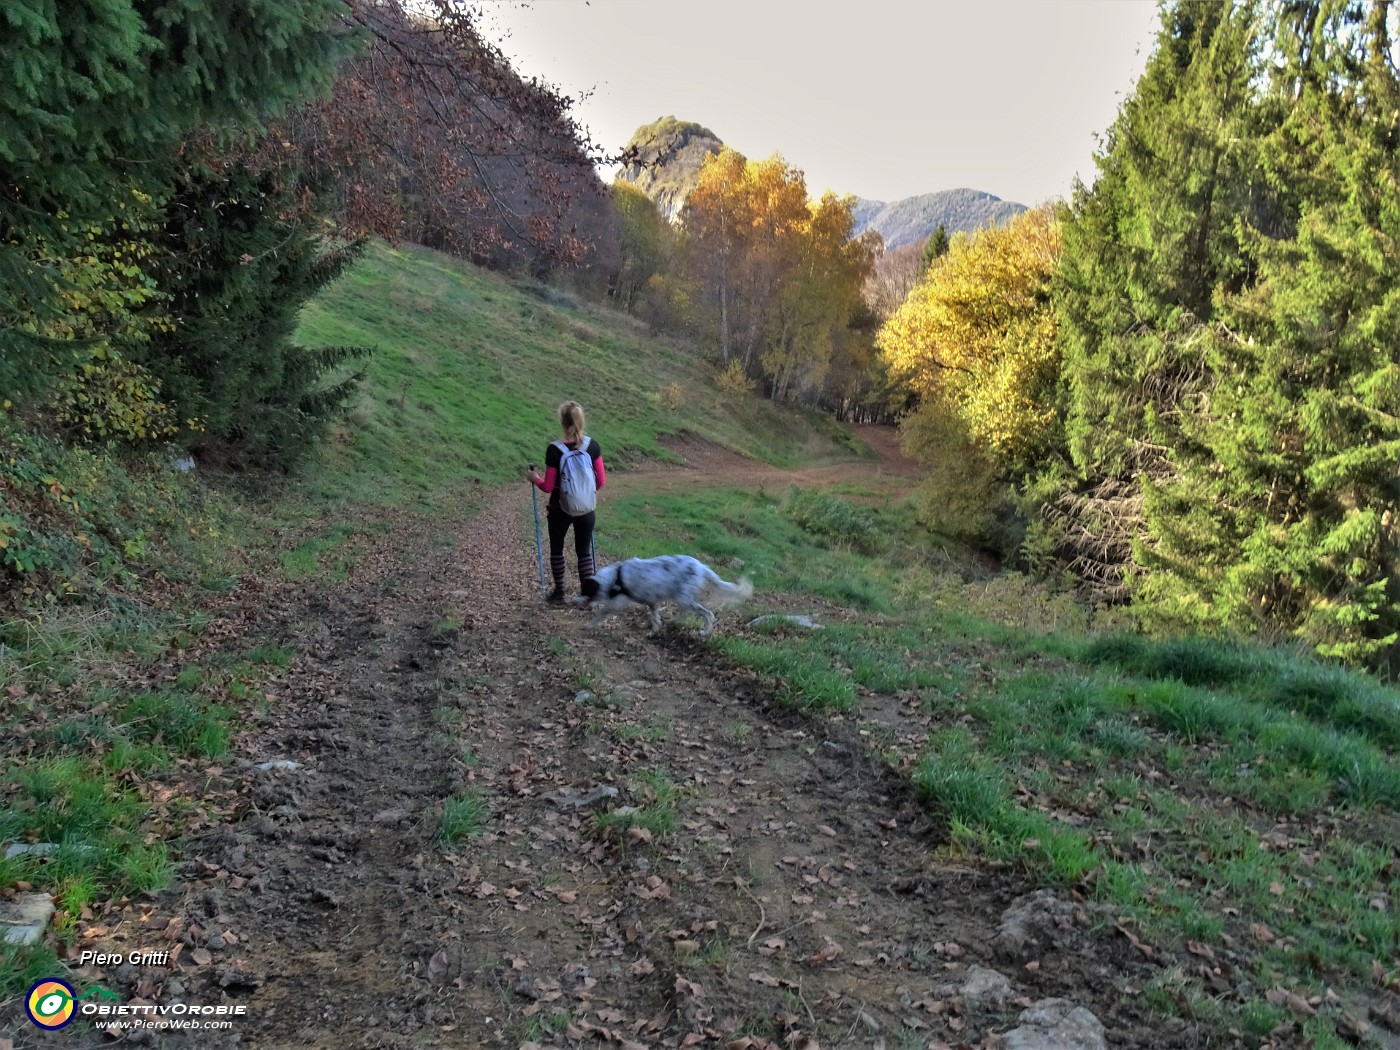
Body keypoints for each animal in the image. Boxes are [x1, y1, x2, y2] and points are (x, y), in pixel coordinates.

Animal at [579, 554, 756, 638]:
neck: (617, 576)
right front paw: (654, 631)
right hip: (683, 597)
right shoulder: (651, 601)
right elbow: (654, 618)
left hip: (684, 597)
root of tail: (701, 567)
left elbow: (602, 613)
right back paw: (673, 622)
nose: (575, 601)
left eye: (584, 591)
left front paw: (588, 625)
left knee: (707, 613)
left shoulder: (618, 601)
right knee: (686, 611)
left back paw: (705, 632)